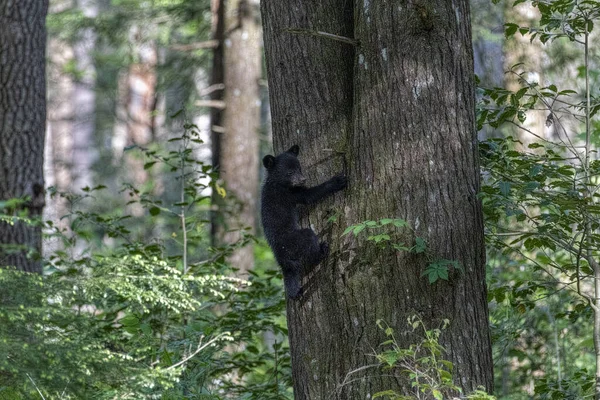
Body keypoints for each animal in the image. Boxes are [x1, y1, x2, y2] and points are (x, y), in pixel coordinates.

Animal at [262, 145, 350, 298]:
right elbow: (309, 195)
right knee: (310, 242)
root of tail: (281, 258)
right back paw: (322, 250)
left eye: (299, 168)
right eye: (289, 172)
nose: (303, 179)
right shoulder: (289, 194)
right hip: (296, 240)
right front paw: (338, 181)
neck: (276, 183)